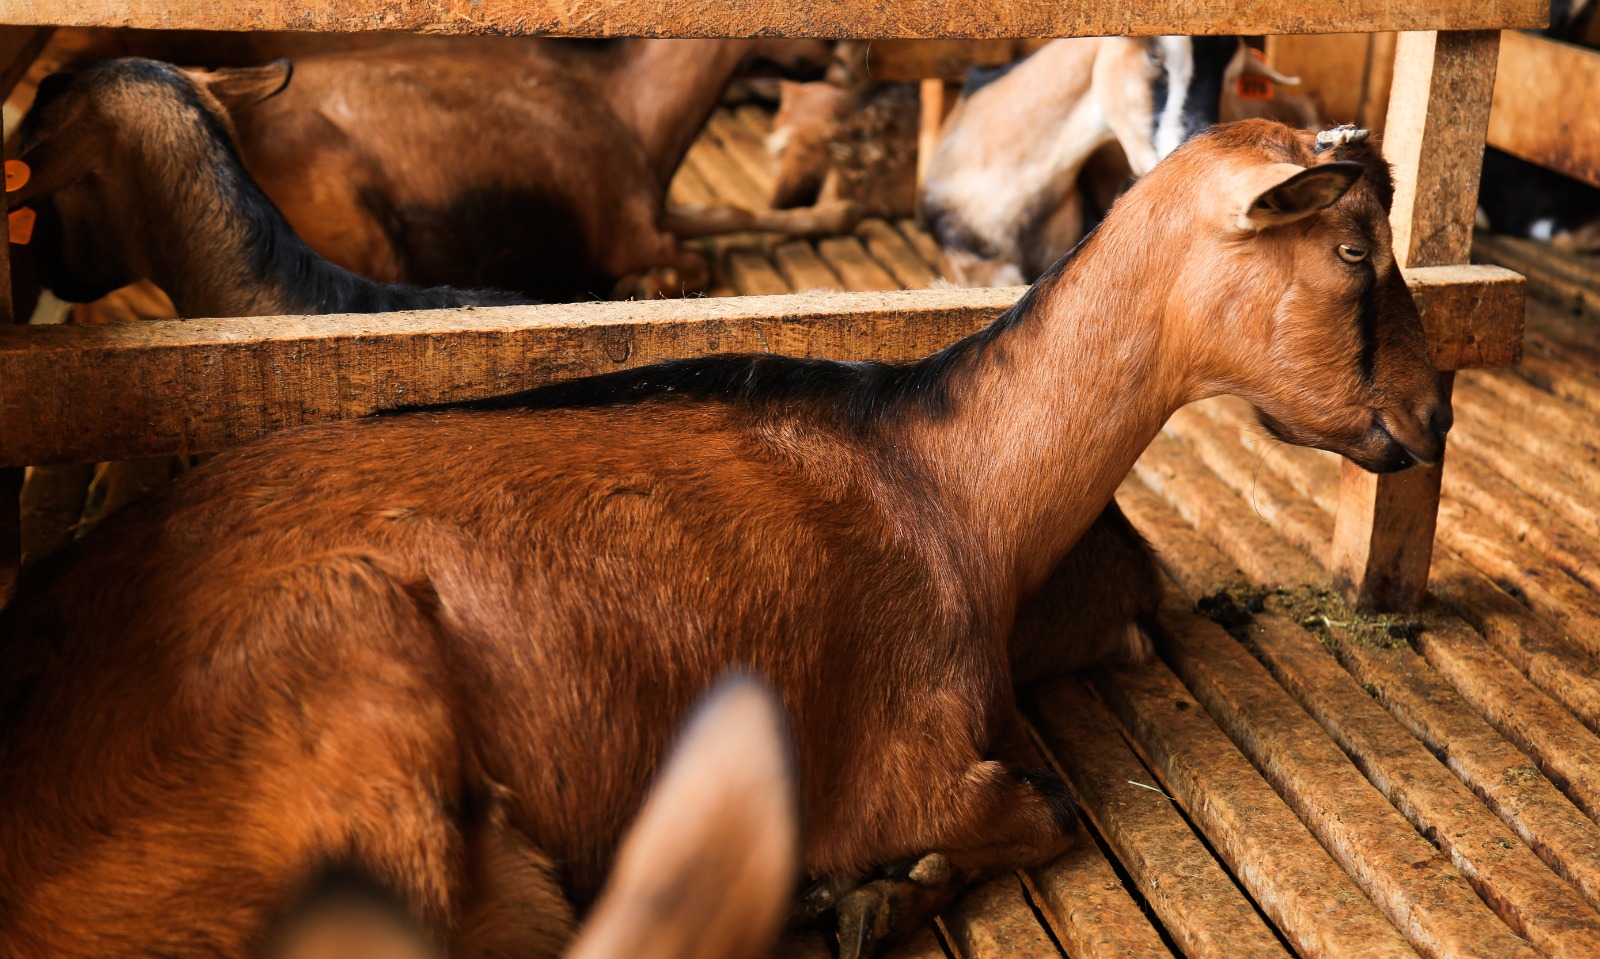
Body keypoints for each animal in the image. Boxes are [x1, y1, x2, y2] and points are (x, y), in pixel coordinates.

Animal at [0, 120, 1450, 959]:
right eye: (1353, 248)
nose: (1434, 410)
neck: (947, 487)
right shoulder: (910, 761)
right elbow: (1044, 804)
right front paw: (859, 890)